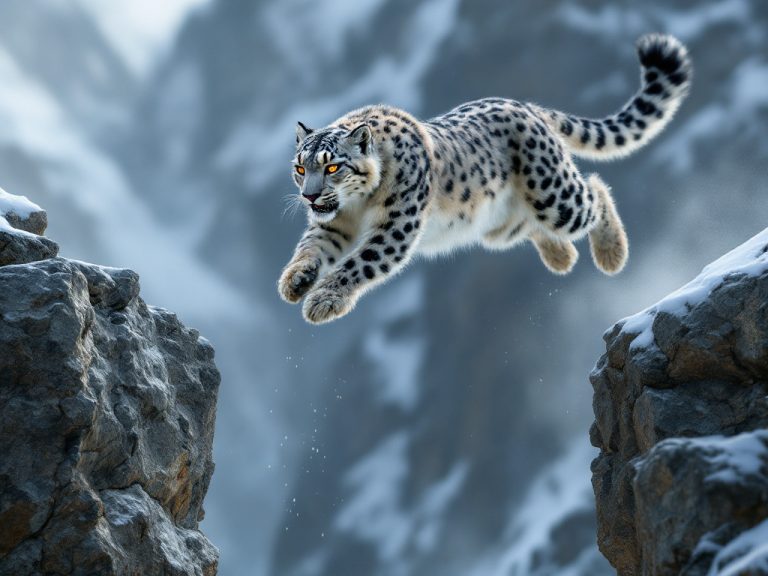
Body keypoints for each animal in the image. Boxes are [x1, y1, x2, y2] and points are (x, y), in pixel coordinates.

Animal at [278, 34, 692, 324]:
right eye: (300, 168)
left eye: (333, 167)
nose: (311, 197)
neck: (357, 208)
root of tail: (528, 107)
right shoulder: (333, 225)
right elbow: (311, 246)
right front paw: (295, 281)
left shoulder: (396, 225)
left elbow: (362, 262)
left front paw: (323, 301)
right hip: (500, 226)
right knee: (534, 223)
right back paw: (561, 257)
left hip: (555, 196)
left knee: (594, 190)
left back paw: (611, 253)